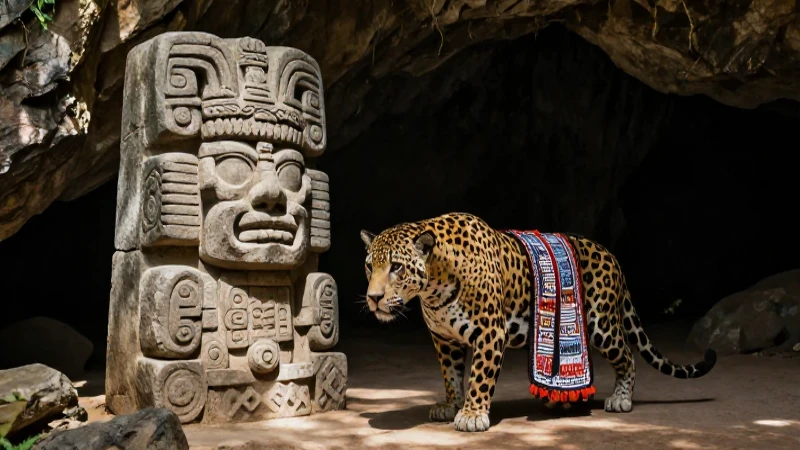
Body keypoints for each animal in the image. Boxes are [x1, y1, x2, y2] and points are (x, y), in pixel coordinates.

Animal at [360, 212, 717, 433]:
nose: (373, 298)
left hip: (601, 324)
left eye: (396, 267)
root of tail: (612, 256)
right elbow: (452, 376)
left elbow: (479, 377)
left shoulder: (491, 331)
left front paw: (472, 415)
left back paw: (621, 398)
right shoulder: (444, 339)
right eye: (369, 265)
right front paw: (451, 404)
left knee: (627, 356)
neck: (434, 285)